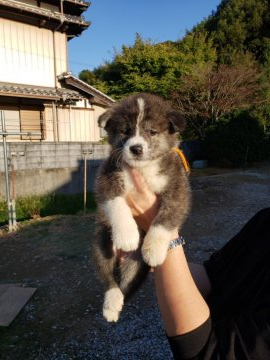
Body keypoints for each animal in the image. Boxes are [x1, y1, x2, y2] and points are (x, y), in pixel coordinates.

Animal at [94, 92, 191, 320]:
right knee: (108, 277)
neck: (143, 168)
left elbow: (165, 219)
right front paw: (127, 235)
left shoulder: (178, 189)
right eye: (126, 131)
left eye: (152, 132)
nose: (136, 148)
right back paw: (111, 302)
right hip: (102, 240)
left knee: (127, 283)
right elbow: (116, 204)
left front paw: (153, 249)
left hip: (137, 265)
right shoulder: (106, 178)